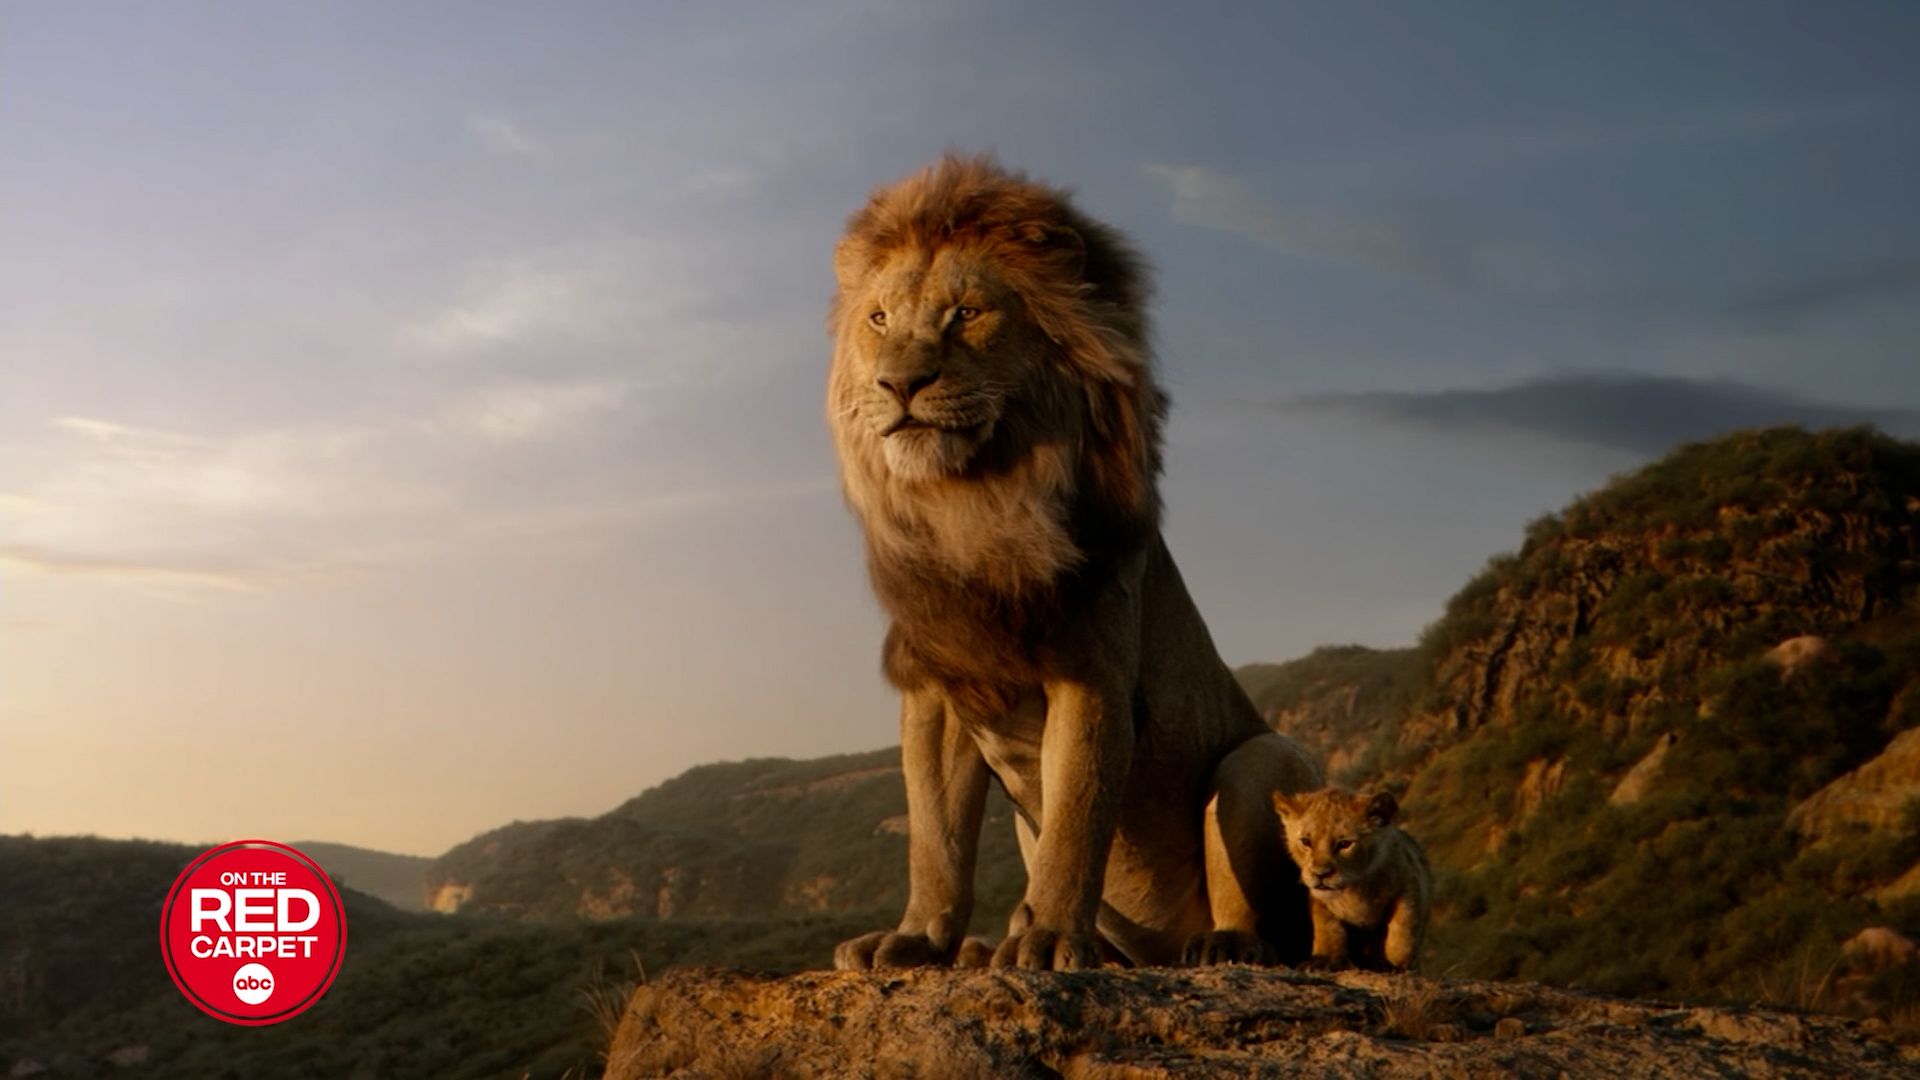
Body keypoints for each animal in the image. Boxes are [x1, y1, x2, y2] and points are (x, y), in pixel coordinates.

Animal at [825, 154, 1323, 971]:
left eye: (966, 314)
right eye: (879, 320)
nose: (898, 383)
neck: (973, 505)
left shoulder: (1091, 674)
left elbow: (1076, 820)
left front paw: (1052, 938)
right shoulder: (937, 688)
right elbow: (935, 838)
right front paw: (917, 938)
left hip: (1261, 759)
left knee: (1269, 922)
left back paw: (1219, 946)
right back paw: (988, 947)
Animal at [1270, 788, 1432, 972]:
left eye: (1344, 844)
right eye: (1306, 841)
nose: (1321, 874)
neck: (1353, 888)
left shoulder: (1411, 882)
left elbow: (1403, 927)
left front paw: (1398, 963)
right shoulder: (1319, 901)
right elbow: (1327, 928)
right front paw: (1324, 959)